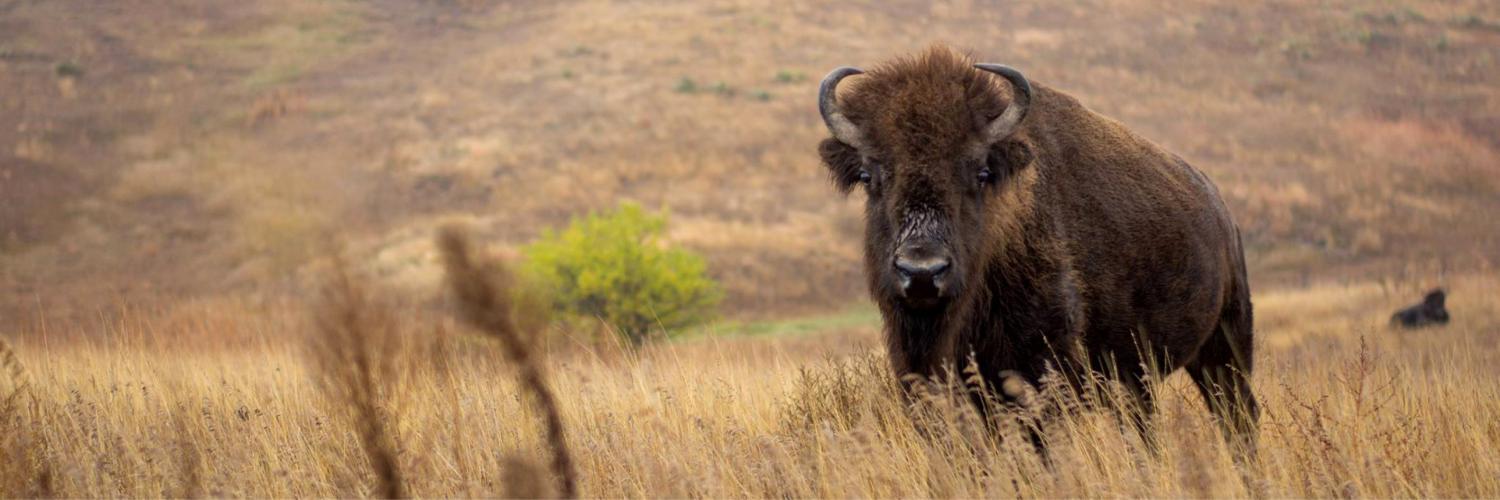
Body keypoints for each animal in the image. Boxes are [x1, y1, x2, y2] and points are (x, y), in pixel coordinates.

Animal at [816, 46, 1260, 450]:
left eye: (981, 172)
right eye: (868, 175)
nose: (922, 273)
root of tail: (1221, 210)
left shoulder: (1038, 375)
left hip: (1226, 346)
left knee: (1238, 415)